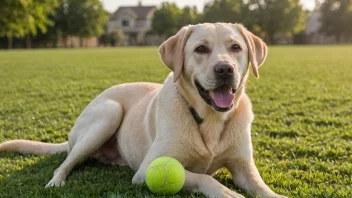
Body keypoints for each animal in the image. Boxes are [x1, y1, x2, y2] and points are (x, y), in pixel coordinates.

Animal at [0, 23, 286, 198]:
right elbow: (202, 177)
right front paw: (224, 192)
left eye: (236, 48)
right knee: (64, 163)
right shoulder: (149, 168)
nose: (225, 69)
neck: (211, 119)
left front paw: (276, 194)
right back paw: (57, 181)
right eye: (201, 49)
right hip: (108, 113)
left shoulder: (243, 167)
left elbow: (262, 187)